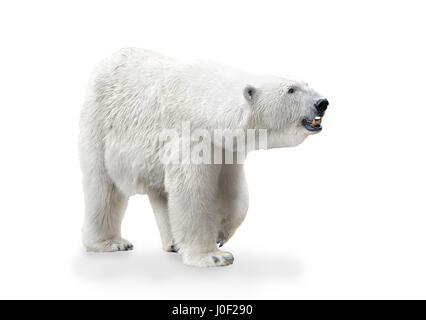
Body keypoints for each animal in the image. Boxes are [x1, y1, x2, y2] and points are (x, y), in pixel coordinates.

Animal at [78, 47, 328, 268]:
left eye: (306, 83)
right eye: (291, 90)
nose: (322, 103)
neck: (205, 105)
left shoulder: (225, 148)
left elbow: (232, 190)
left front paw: (220, 233)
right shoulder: (189, 135)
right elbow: (191, 191)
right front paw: (213, 256)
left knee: (161, 192)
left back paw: (173, 243)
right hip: (100, 124)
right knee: (102, 186)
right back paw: (110, 242)